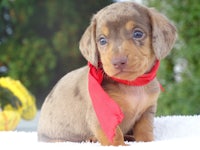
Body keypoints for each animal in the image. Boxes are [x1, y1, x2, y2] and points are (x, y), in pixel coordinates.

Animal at [37, 1, 177, 146]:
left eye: (138, 34)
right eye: (102, 40)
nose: (118, 62)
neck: (132, 85)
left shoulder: (147, 111)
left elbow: (145, 130)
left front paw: (147, 142)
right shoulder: (102, 115)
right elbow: (114, 136)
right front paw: (120, 145)